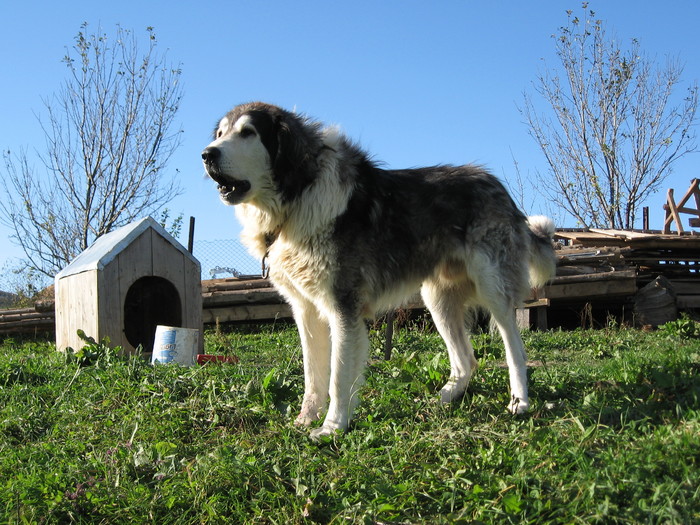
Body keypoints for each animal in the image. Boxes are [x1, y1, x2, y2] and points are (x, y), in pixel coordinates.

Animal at [202, 102, 556, 438]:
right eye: (220, 134)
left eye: (247, 133)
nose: (206, 154)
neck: (297, 196)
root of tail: (497, 185)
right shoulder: (305, 310)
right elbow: (312, 376)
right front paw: (306, 420)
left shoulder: (343, 308)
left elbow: (337, 377)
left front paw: (332, 429)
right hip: (437, 300)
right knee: (466, 360)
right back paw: (443, 400)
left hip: (493, 288)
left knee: (515, 348)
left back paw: (520, 402)